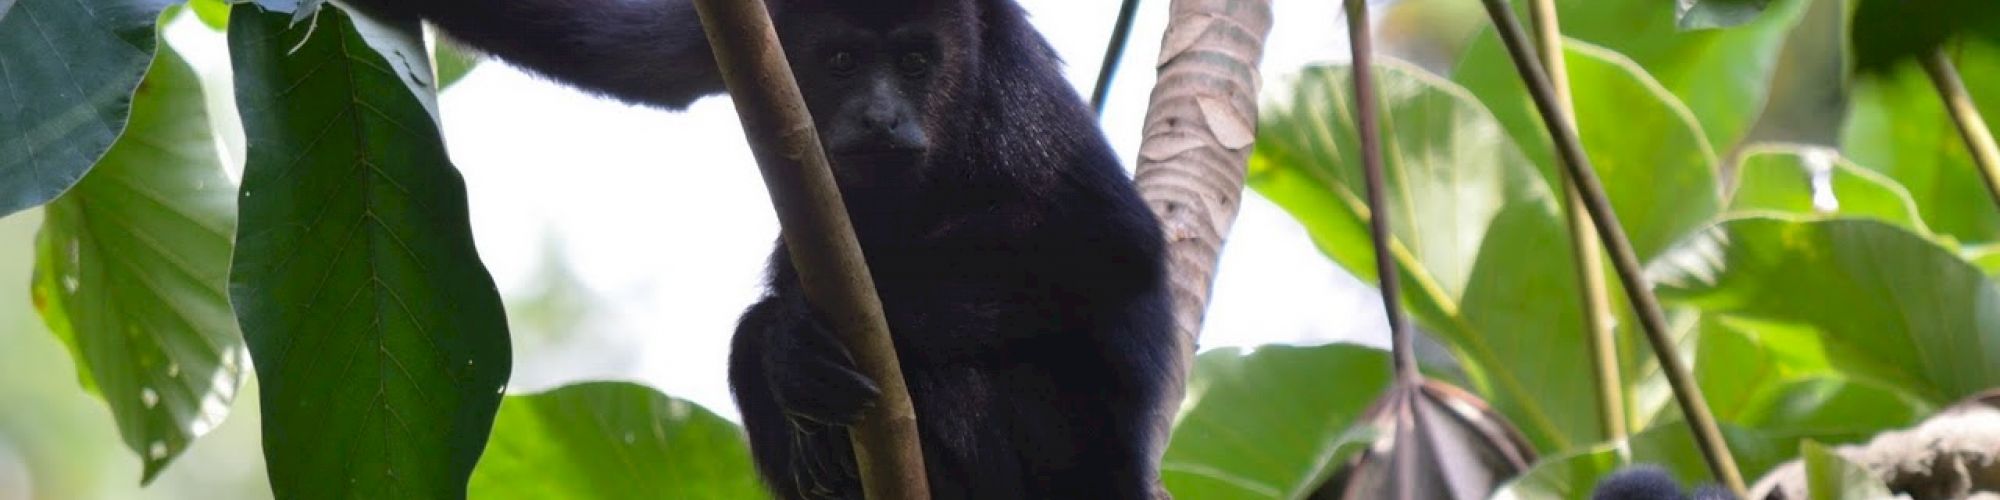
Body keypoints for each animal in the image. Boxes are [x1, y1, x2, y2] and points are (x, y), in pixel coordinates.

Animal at [328, 0, 1168, 500]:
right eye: (841, 61)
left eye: (917, 62)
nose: (882, 117)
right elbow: (627, 53)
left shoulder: (1010, 77)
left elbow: (1107, 240)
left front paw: (790, 332)